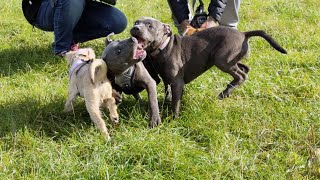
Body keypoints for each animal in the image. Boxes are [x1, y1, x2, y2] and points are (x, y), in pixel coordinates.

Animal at [130, 16, 288, 117]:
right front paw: (165, 106)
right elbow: (169, 95)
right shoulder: (168, 80)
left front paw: (173, 118)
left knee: (241, 75)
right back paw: (229, 90)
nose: (135, 28)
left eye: (150, 26)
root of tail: (243, 34)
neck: (163, 47)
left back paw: (224, 93)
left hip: (222, 59)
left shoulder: (177, 82)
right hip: (230, 59)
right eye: (136, 22)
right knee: (244, 68)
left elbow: (176, 102)